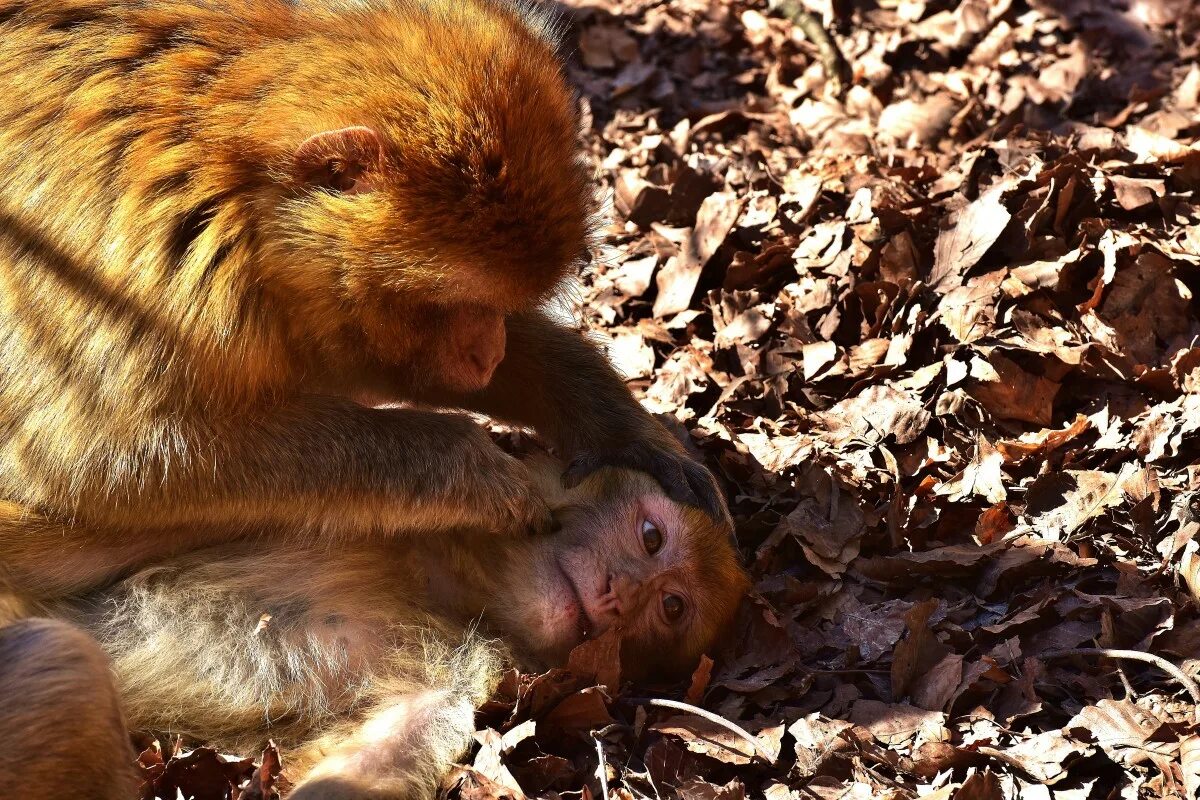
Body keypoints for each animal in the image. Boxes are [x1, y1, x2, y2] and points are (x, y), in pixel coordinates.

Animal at [0, 0, 720, 599]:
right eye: (447, 301)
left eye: (498, 303)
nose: (488, 354)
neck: (235, 191)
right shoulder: (148, 278)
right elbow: (106, 463)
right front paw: (466, 470)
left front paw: (616, 427)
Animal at [2, 455, 748, 800]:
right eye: (650, 537)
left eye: (670, 608)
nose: (622, 598)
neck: (445, 582)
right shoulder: (335, 497)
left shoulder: (459, 676)